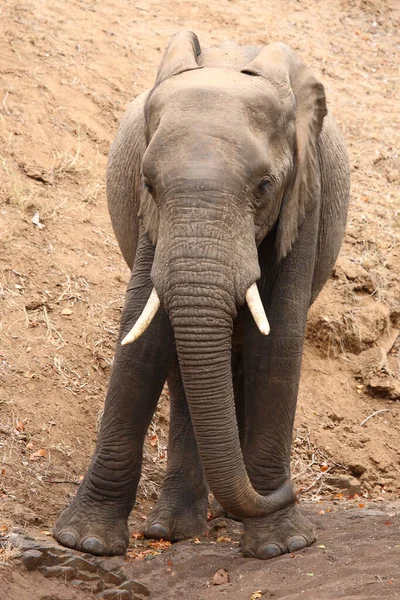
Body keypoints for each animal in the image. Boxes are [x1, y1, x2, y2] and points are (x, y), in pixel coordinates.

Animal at [54, 31, 350, 556]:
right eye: (148, 184)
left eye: (265, 186)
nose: (288, 489)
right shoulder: (151, 223)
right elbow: (144, 337)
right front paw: (84, 543)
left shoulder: (304, 200)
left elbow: (276, 343)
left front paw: (280, 546)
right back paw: (173, 530)